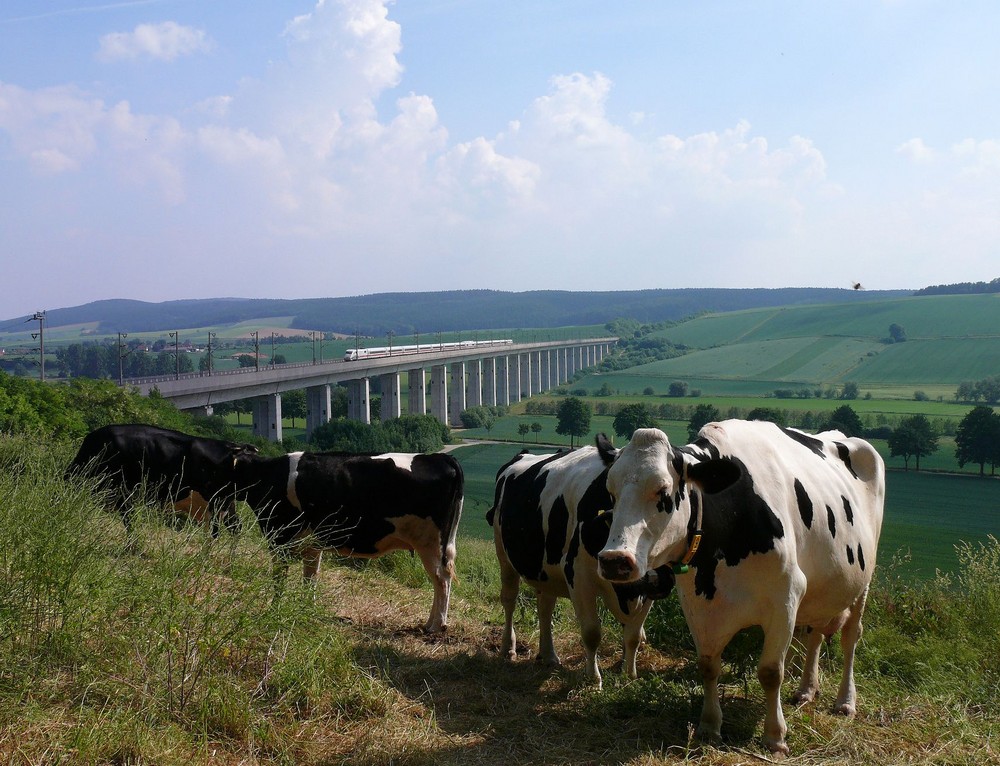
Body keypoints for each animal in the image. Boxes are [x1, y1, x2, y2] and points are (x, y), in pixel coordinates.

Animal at [65, 424, 256, 536]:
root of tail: (233, 446)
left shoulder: (124, 491)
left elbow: (128, 519)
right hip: (225, 502)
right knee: (234, 526)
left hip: (218, 499)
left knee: (223, 528)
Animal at [234, 450, 464, 636]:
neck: (267, 475)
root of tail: (440, 457)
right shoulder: (312, 544)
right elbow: (310, 577)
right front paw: (306, 607)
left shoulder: (277, 538)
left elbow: (279, 579)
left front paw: (275, 608)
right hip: (441, 544)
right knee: (441, 578)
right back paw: (428, 623)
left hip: (430, 543)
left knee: (441, 579)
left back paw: (436, 626)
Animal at [488, 448, 676, 692]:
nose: (662, 579)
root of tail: (523, 455)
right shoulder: (578, 579)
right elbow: (592, 633)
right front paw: (593, 679)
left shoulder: (645, 595)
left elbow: (634, 635)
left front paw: (629, 673)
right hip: (504, 554)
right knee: (509, 599)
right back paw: (507, 648)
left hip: (546, 573)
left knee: (545, 607)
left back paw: (548, 655)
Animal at [592, 424, 884, 760]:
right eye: (611, 493)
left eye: (663, 491)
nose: (614, 560)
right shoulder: (698, 605)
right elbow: (707, 666)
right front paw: (709, 726)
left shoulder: (785, 600)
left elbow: (770, 672)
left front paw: (774, 736)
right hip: (820, 592)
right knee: (815, 633)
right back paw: (806, 690)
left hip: (863, 582)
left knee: (850, 637)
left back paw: (845, 702)